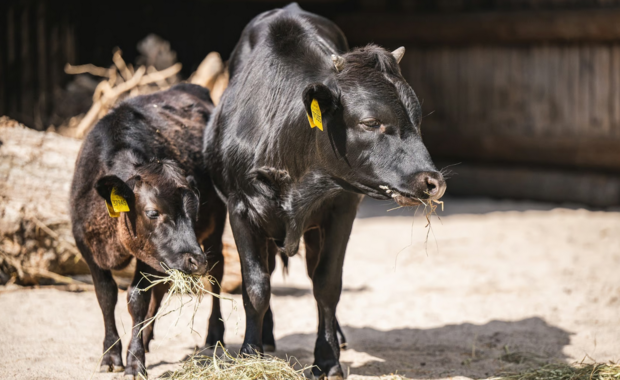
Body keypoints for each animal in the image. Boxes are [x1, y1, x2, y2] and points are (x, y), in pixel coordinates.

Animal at [69, 84, 228, 378]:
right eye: (153, 212)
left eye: (194, 211)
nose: (195, 261)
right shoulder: (85, 245)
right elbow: (106, 295)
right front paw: (111, 355)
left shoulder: (147, 252)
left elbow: (136, 299)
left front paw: (134, 362)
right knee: (163, 286)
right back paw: (146, 335)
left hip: (215, 226)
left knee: (217, 271)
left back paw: (215, 334)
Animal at [206, 3, 448, 380]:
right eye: (370, 122)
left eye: (418, 119)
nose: (432, 181)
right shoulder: (240, 208)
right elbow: (256, 286)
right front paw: (249, 354)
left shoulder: (341, 208)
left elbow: (327, 284)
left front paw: (327, 358)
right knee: (228, 269)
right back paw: (228, 337)